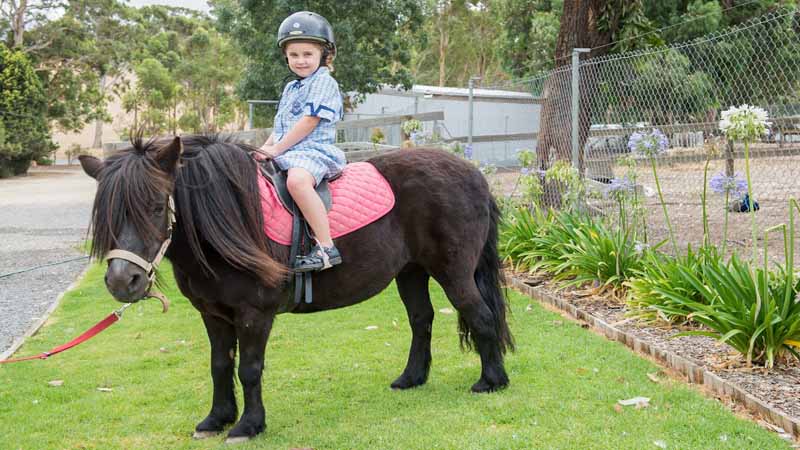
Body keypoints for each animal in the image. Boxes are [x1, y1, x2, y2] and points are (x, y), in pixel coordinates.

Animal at [78, 134, 516, 442]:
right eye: (107, 214)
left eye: (156, 206)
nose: (123, 281)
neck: (229, 221)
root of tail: (475, 174)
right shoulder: (213, 314)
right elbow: (220, 365)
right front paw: (217, 418)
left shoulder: (254, 314)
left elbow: (249, 368)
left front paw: (248, 425)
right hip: (410, 272)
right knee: (422, 320)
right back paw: (411, 378)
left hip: (454, 273)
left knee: (481, 316)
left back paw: (492, 381)